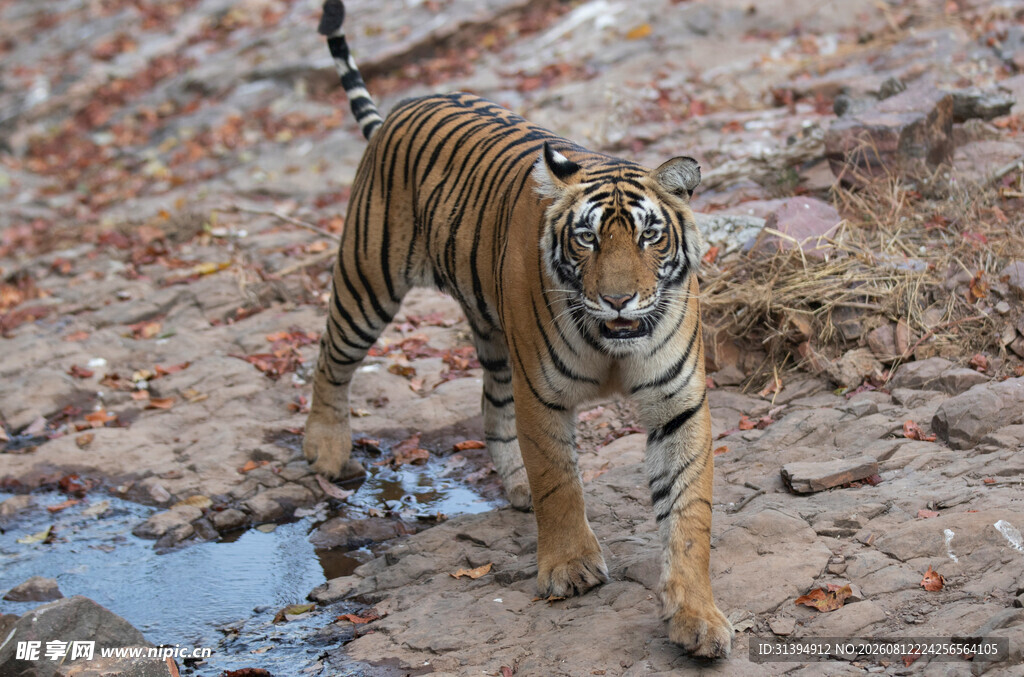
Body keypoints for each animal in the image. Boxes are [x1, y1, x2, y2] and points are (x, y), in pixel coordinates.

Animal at [303, 0, 732, 658]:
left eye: (649, 236)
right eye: (587, 239)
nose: (618, 299)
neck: (614, 346)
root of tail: (401, 109)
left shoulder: (677, 404)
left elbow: (689, 513)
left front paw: (697, 617)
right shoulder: (544, 393)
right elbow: (559, 480)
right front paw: (571, 567)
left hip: (492, 330)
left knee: (490, 402)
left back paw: (513, 484)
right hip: (368, 279)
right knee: (331, 357)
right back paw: (325, 449)